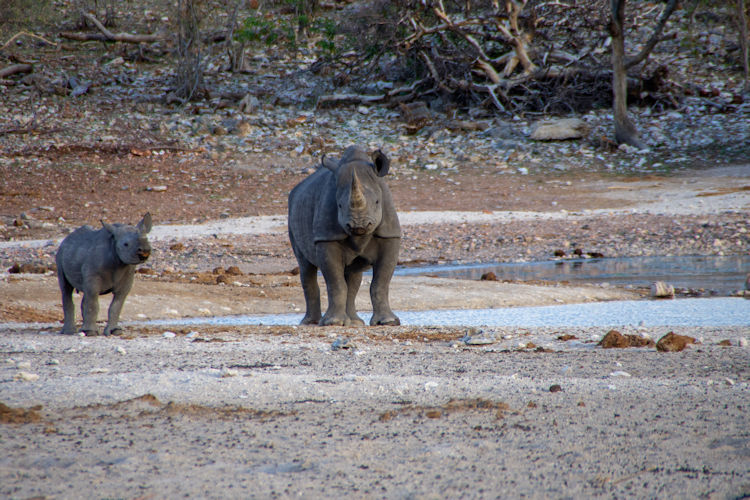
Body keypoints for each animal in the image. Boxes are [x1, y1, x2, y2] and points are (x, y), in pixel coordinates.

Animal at [288, 146, 401, 326]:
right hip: (292, 212)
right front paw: (333, 322)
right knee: (306, 266)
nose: (358, 225)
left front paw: (388, 322)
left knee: (353, 275)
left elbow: (380, 282)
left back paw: (355, 322)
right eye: (339, 205)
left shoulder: (389, 234)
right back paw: (310, 323)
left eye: (377, 202)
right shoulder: (327, 237)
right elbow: (336, 283)